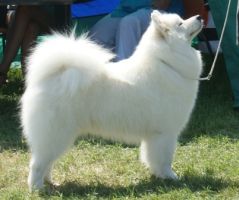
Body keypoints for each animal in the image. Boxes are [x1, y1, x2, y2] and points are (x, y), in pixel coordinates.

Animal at [21, 10, 204, 191]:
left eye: (181, 19)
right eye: (180, 23)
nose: (200, 17)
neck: (167, 63)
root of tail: (53, 76)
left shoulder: (154, 135)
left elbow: (151, 156)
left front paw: (158, 175)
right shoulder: (165, 133)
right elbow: (164, 159)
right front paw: (170, 177)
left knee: (47, 163)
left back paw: (51, 183)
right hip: (56, 134)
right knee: (38, 164)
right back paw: (36, 188)